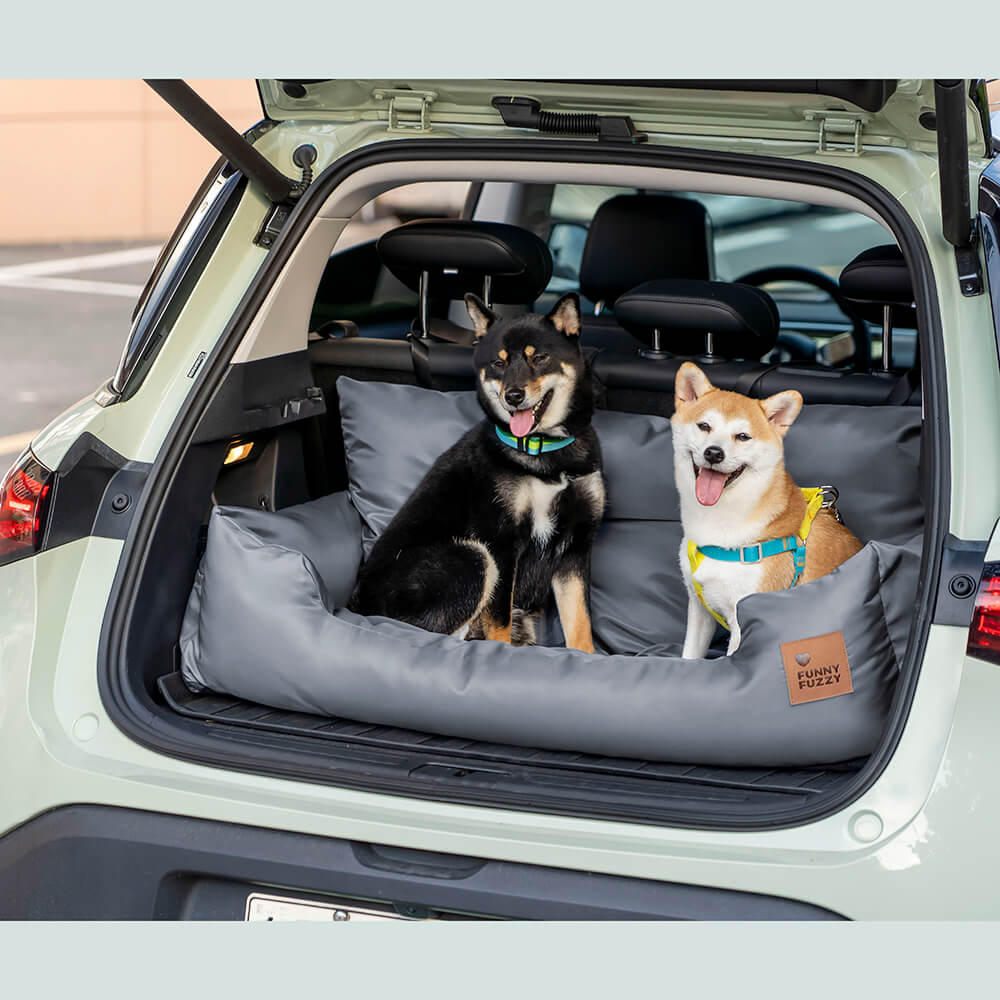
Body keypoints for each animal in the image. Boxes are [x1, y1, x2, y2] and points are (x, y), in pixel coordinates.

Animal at [348, 292, 604, 648]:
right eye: (498, 363)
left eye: (539, 358)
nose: (513, 396)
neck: (543, 451)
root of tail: (359, 607)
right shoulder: (501, 542)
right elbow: (498, 625)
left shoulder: (576, 546)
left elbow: (580, 626)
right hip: (470, 557)